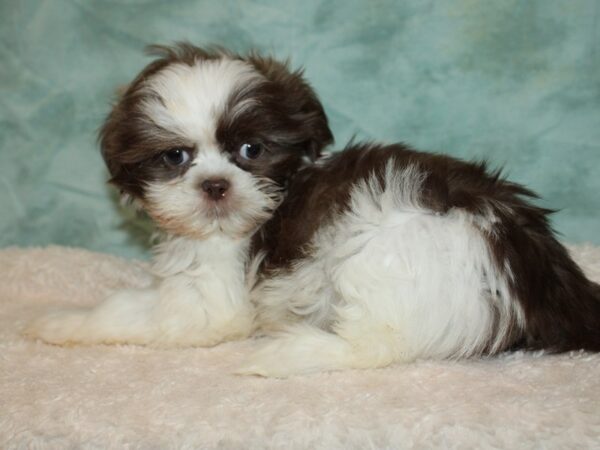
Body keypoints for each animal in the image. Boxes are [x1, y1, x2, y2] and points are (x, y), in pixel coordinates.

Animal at [28, 44, 600, 376]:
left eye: (251, 150)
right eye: (174, 158)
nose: (215, 185)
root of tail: (535, 262)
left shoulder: (210, 301)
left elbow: (129, 311)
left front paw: (59, 320)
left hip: (391, 248)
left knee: (378, 343)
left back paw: (286, 354)